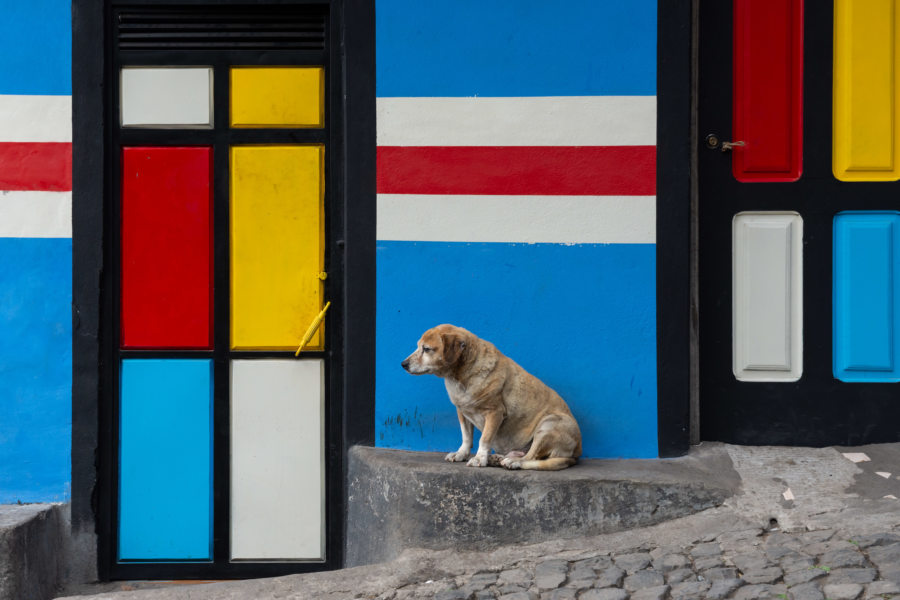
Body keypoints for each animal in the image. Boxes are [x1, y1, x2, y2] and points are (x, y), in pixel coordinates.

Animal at [400, 324, 584, 468]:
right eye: (418, 346)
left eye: (426, 349)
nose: (403, 364)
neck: (461, 376)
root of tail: (576, 453)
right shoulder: (462, 413)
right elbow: (466, 437)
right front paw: (461, 454)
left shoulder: (494, 413)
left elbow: (484, 439)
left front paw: (479, 458)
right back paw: (498, 458)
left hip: (549, 424)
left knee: (531, 456)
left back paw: (513, 462)